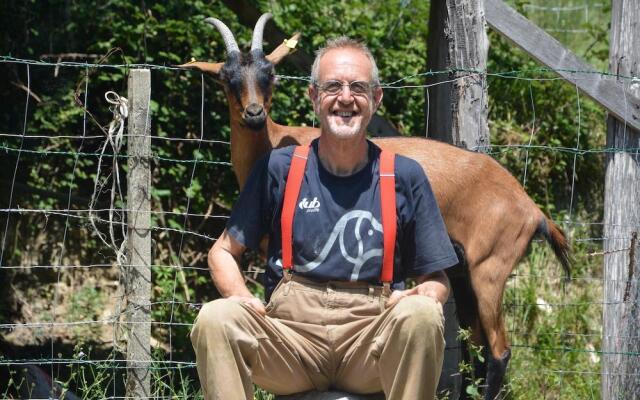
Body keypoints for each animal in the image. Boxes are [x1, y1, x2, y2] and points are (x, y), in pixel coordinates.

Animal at [180, 13, 568, 400]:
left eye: (269, 73)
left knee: (499, 350)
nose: (255, 114)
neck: (275, 141)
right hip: (464, 275)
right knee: (477, 347)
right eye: (227, 78)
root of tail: (532, 209)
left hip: (489, 272)